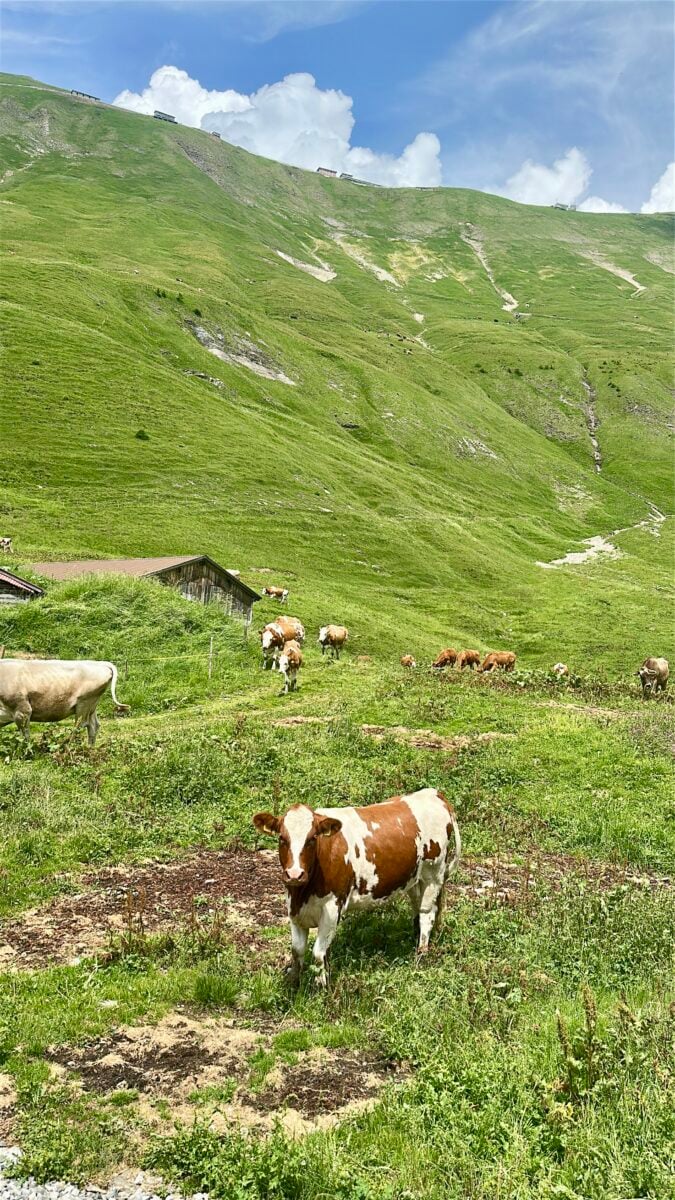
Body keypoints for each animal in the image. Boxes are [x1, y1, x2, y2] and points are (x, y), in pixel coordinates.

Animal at [0, 659, 128, 745]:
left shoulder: (22, 709)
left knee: (81, 725)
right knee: (94, 725)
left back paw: (68, 748)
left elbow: (25, 735)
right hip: (92, 705)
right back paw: (89, 748)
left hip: (84, 702)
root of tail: (100, 663)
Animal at [253, 788, 461, 987]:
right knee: (419, 908)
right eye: (282, 838)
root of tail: (433, 793)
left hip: (433, 874)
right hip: (414, 879)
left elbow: (318, 953)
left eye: (312, 839)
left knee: (427, 912)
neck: (303, 893)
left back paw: (421, 954)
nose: (295, 874)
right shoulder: (294, 908)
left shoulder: (332, 907)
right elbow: (297, 951)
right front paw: (293, 983)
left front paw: (322, 987)